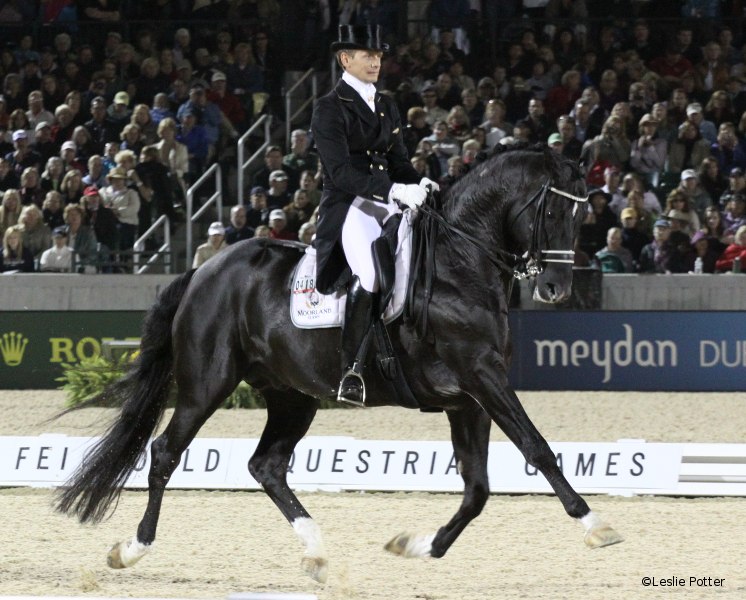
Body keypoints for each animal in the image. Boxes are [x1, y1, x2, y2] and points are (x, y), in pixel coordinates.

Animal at [56, 144, 623, 584]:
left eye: (584, 216)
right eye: (553, 213)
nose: (556, 288)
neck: (458, 266)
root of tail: (204, 269)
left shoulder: (469, 397)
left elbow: (477, 488)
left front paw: (417, 545)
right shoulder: (482, 379)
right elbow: (537, 449)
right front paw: (597, 527)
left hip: (292, 394)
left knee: (266, 466)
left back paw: (317, 553)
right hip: (206, 384)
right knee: (165, 453)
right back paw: (132, 549)